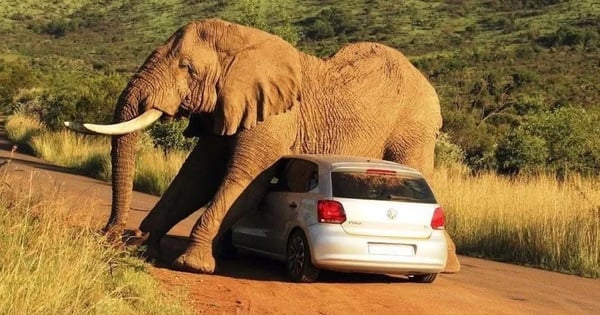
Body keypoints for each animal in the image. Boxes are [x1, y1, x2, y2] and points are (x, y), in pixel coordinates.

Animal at [64, 19, 460, 274]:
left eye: (187, 68)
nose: (111, 235)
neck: (246, 43)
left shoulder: (276, 118)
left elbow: (244, 183)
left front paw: (192, 264)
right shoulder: (229, 106)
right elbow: (195, 178)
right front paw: (146, 247)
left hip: (414, 126)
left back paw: (450, 265)